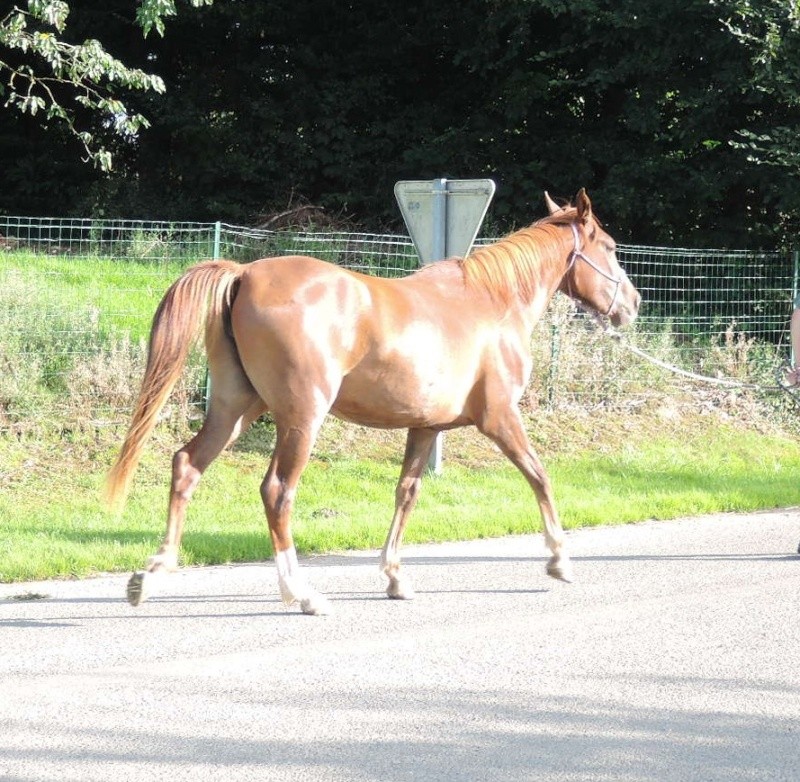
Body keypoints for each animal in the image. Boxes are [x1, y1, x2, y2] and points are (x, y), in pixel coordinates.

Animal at [108, 188, 644, 612]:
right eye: (611, 247)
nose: (633, 305)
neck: (493, 303)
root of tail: (244, 274)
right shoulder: (499, 418)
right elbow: (539, 476)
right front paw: (559, 558)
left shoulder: (425, 427)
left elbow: (407, 493)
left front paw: (394, 576)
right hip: (301, 419)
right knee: (277, 492)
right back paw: (300, 592)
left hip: (235, 408)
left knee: (186, 466)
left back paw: (152, 574)